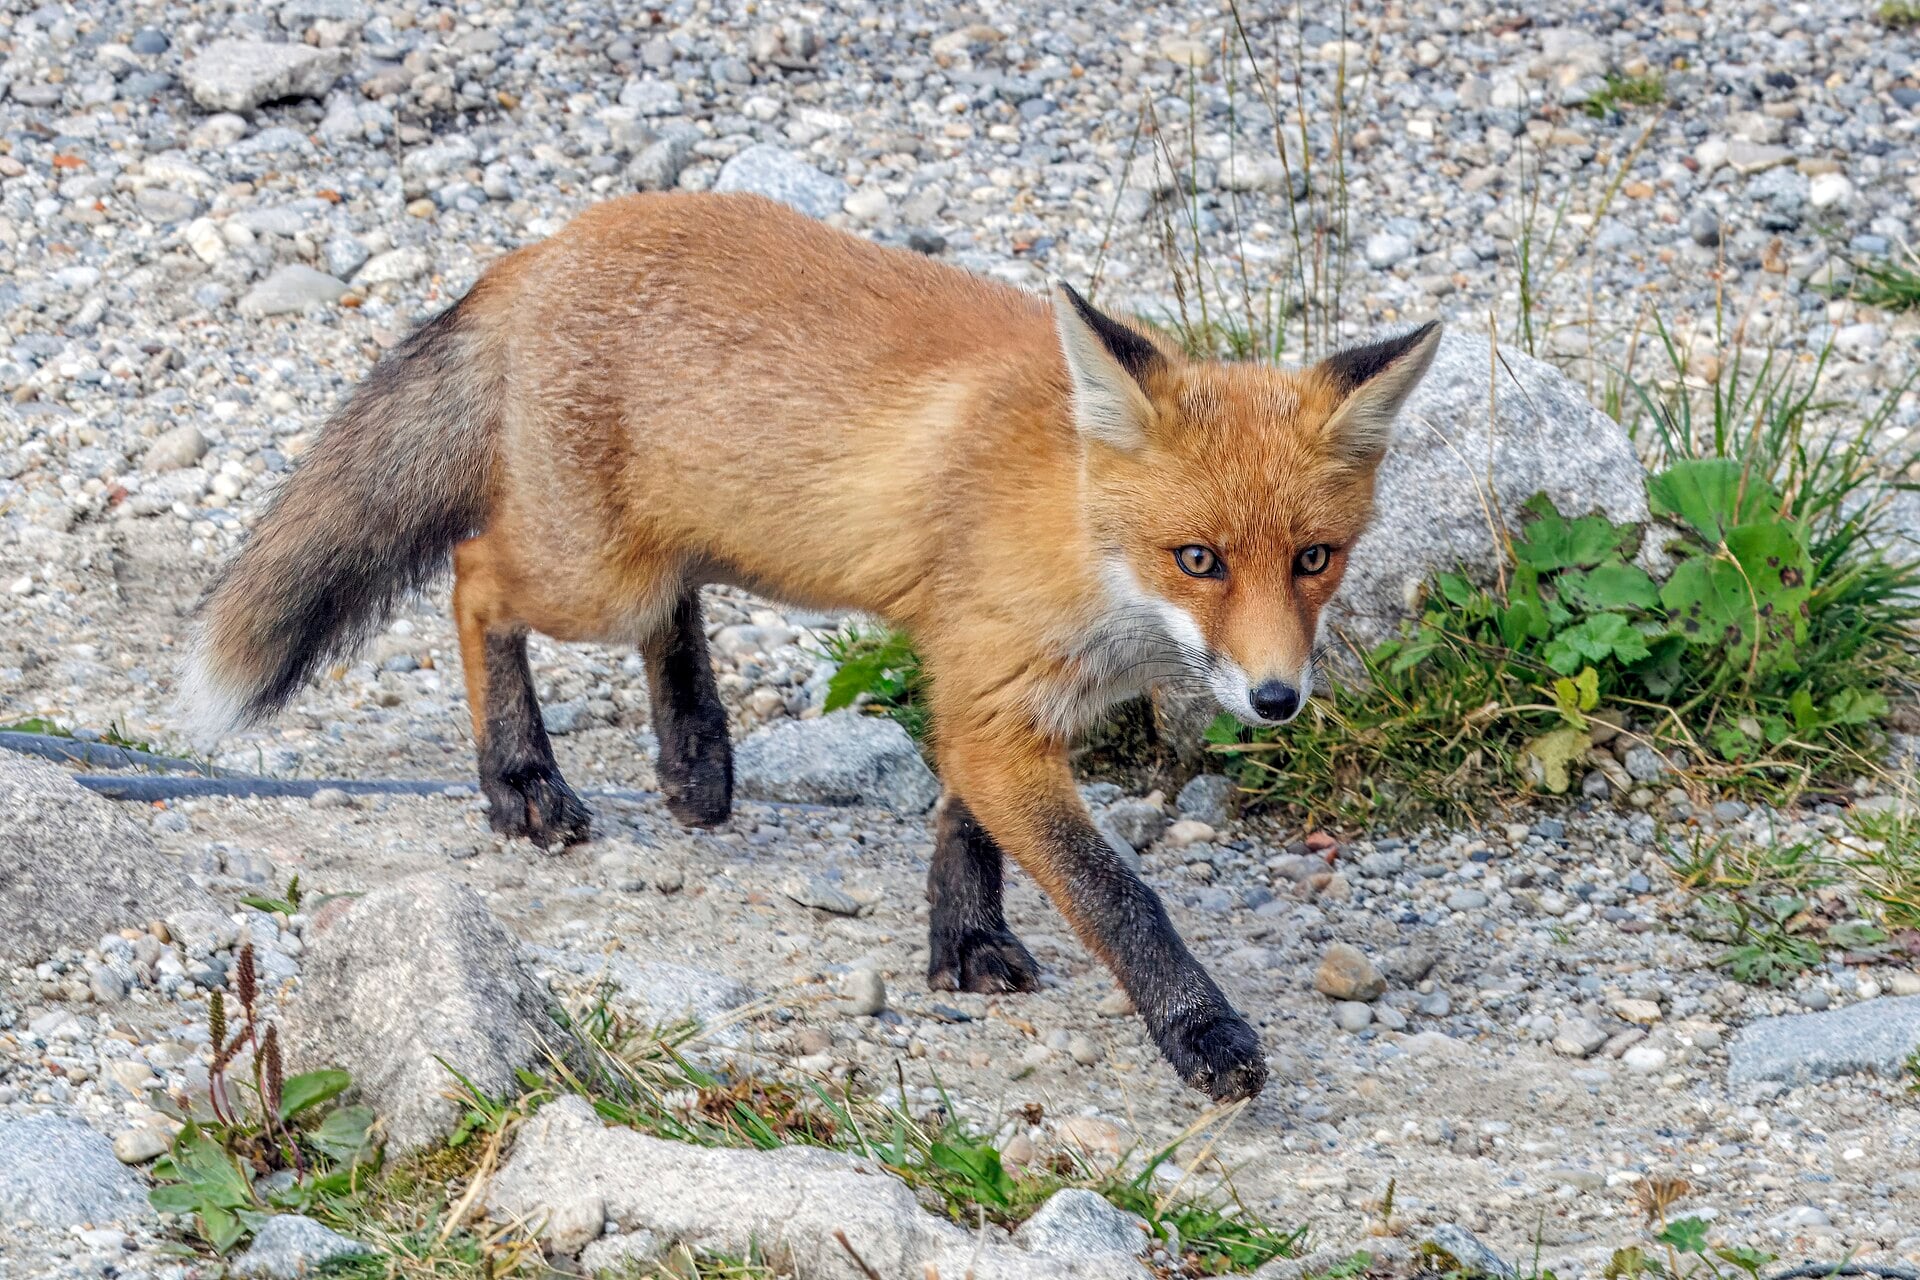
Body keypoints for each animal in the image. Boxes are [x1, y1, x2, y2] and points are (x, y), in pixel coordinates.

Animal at [182, 191, 1441, 1102]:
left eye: (1315, 558)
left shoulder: (985, 701)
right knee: (477, 575)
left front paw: (964, 943)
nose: (1277, 699)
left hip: (665, 548)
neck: (1081, 538)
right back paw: (522, 775)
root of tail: (550, 244)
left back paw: (695, 753)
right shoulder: (997, 701)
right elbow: (1119, 895)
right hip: (588, 576)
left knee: (669, 612)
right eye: (1199, 558)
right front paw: (1206, 1030)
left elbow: (963, 830)